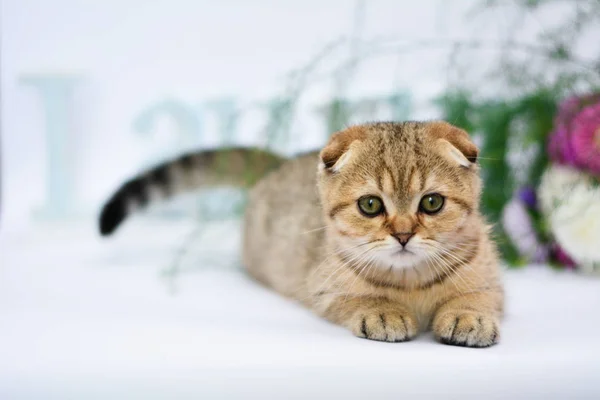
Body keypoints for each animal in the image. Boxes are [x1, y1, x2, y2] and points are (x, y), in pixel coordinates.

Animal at [101, 119, 504, 346]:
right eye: (370, 205)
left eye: (432, 203)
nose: (403, 235)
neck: (411, 281)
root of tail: (281, 163)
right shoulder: (322, 288)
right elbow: (361, 298)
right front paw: (383, 312)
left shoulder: (491, 278)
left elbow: (479, 295)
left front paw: (469, 316)